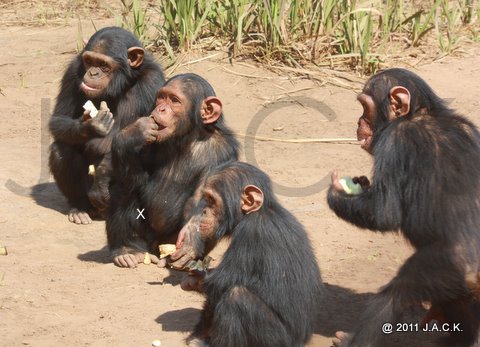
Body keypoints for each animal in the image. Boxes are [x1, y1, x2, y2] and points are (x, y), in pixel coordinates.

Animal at [48, 25, 165, 224]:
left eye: (104, 65)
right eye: (89, 61)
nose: (93, 73)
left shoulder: (152, 81)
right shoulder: (73, 71)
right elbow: (58, 119)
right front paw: (91, 125)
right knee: (60, 149)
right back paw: (79, 208)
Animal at [169, 162, 322, 347]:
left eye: (212, 200)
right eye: (206, 199)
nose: (203, 211)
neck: (258, 212)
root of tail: (304, 339)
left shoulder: (251, 232)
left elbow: (222, 281)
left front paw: (194, 278)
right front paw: (199, 334)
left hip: (278, 340)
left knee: (236, 298)